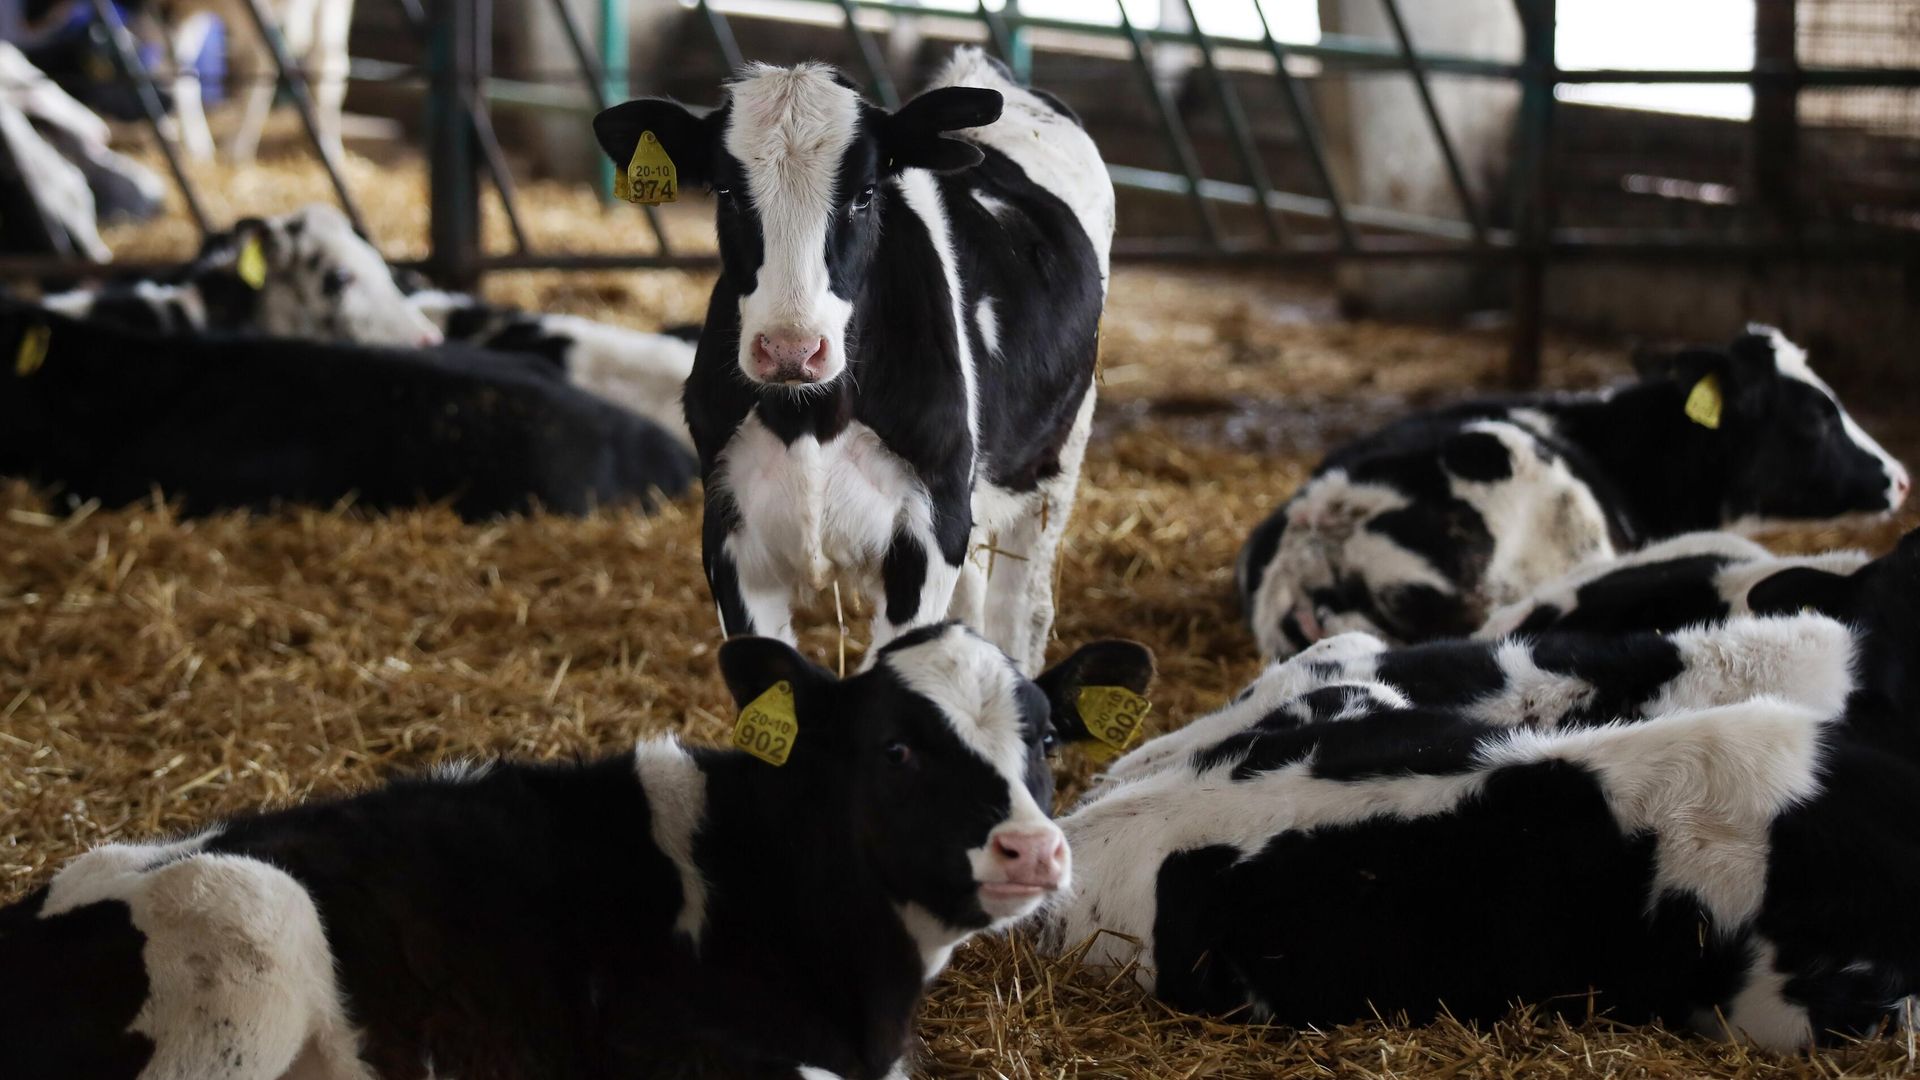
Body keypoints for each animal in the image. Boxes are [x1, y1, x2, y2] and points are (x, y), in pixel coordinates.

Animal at [594, 47, 1113, 673]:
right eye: (725, 192)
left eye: (865, 193)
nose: (790, 348)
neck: (811, 418)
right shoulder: (727, 534)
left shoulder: (931, 531)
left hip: (1054, 459)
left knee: (1022, 608)